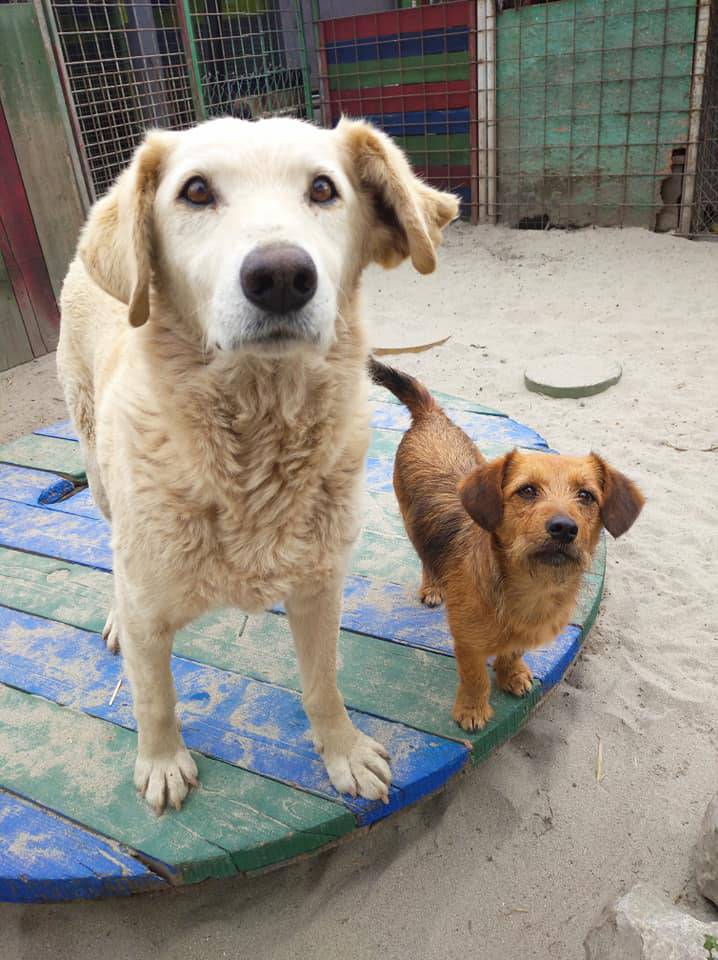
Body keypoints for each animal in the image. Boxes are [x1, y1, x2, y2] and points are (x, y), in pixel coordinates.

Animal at [59, 116, 458, 812]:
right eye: (195, 191)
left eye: (324, 189)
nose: (280, 275)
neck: (254, 451)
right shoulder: (148, 611)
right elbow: (154, 698)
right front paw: (161, 764)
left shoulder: (320, 587)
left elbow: (323, 682)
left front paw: (343, 752)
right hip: (99, 468)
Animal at [372, 358, 648, 728]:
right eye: (527, 490)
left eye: (587, 496)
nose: (564, 528)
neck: (529, 587)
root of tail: (430, 415)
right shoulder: (468, 643)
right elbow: (474, 677)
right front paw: (472, 710)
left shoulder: (522, 634)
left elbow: (513, 651)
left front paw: (511, 674)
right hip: (408, 516)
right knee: (425, 555)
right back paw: (432, 585)